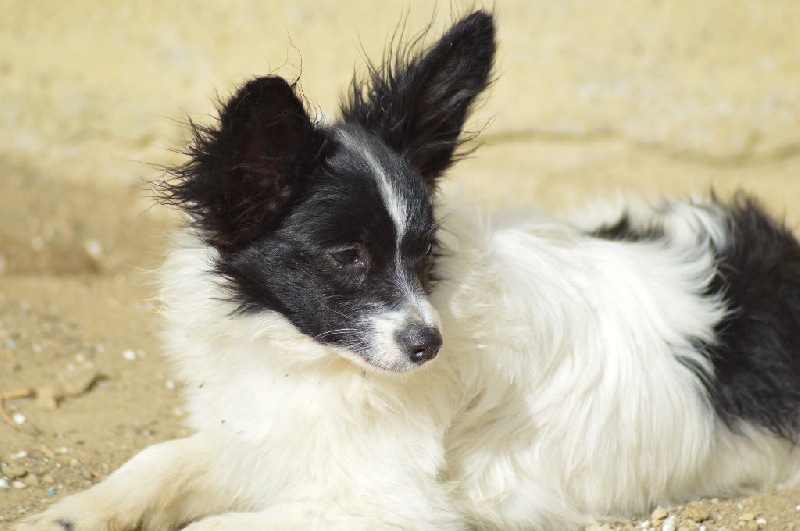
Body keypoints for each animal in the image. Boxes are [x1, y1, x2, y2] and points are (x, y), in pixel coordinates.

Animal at [21, 9, 800, 531]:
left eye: (425, 255)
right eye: (348, 257)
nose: (430, 345)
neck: (307, 360)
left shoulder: (386, 501)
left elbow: (216, 526)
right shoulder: (264, 441)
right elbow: (157, 460)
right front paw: (71, 514)